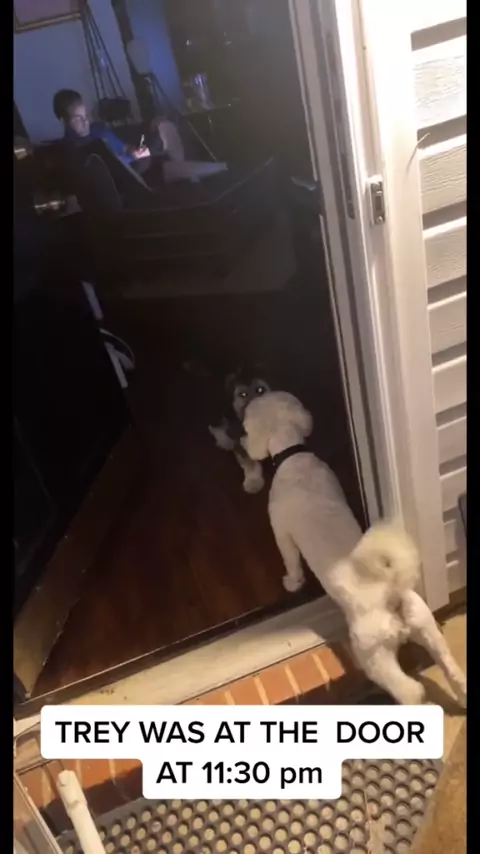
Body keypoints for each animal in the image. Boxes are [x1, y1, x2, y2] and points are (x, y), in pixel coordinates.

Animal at [184, 360, 271, 493]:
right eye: (243, 394)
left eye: (260, 390)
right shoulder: (240, 437)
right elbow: (248, 461)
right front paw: (253, 481)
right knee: (217, 426)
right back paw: (225, 440)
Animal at [242, 391, 467, 706]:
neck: (293, 456)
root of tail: (390, 595)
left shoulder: (281, 531)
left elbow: (291, 561)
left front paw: (291, 582)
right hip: (428, 629)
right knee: (453, 670)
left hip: (374, 656)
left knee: (409, 690)